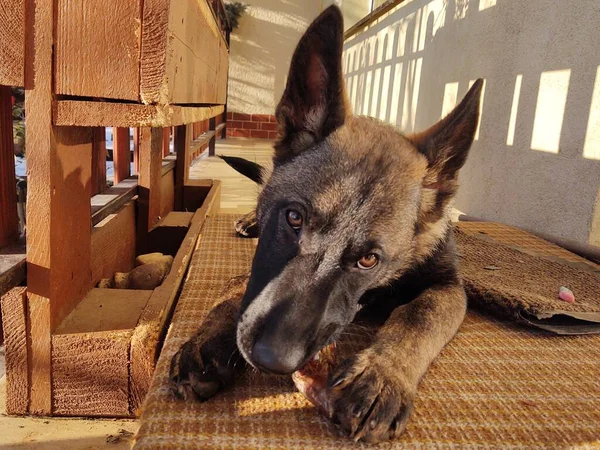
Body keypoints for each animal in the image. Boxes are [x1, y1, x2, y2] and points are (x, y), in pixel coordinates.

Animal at [170, 6, 482, 442]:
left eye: (369, 259)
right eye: (293, 218)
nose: (272, 360)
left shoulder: (449, 288)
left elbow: (419, 316)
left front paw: (381, 374)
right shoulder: (256, 272)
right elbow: (232, 295)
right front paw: (207, 342)